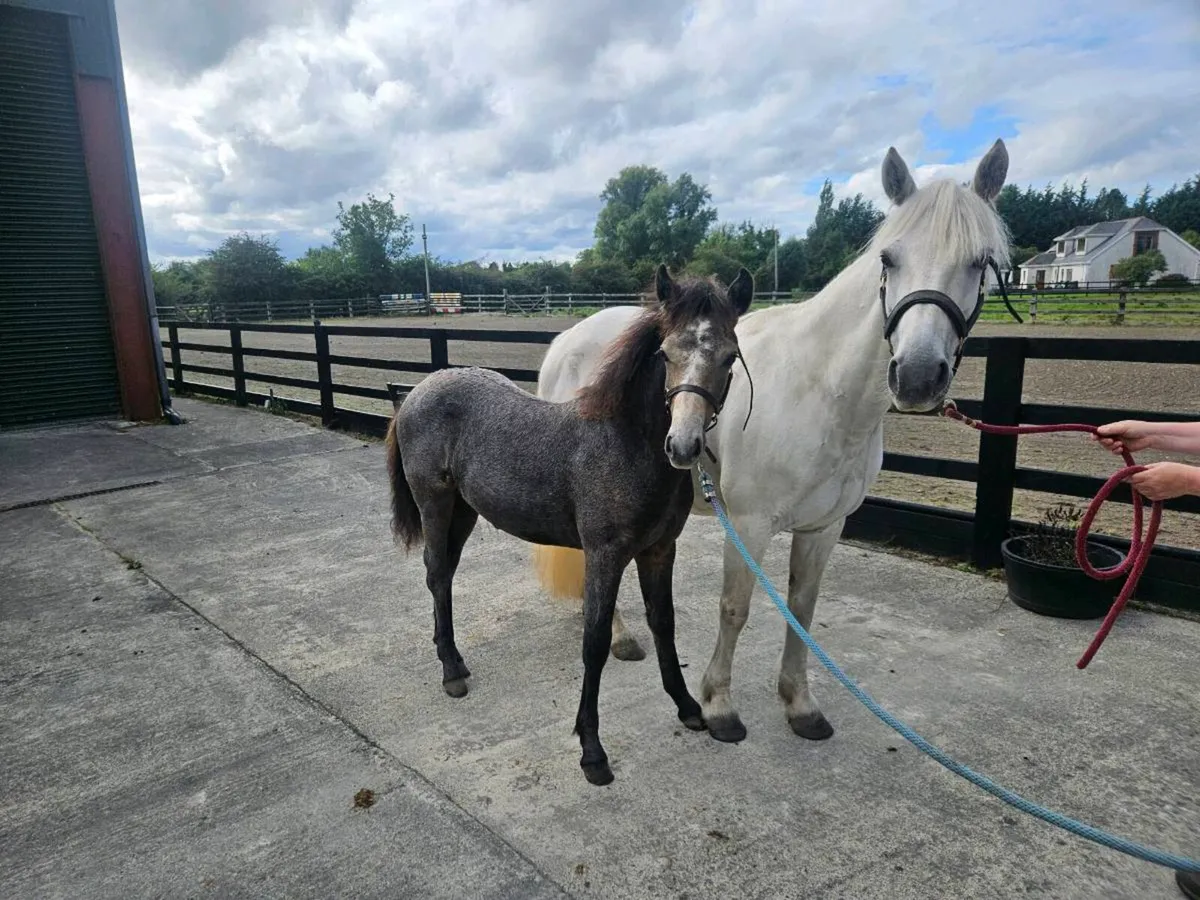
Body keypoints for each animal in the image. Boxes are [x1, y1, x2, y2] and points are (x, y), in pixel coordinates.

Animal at [385, 264, 754, 785]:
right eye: (665, 353)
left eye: (729, 356)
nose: (682, 446)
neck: (625, 443)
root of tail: (416, 392)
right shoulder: (604, 554)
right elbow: (594, 642)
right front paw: (592, 750)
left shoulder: (659, 550)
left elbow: (664, 624)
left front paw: (687, 707)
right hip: (434, 503)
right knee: (437, 573)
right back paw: (452, 672)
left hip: (463, 510)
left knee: (445, 575)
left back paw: (451, 657)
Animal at [533, 139, 1013, 743]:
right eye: (889, 259)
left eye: (980, 262)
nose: (919, 375)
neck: (821, 387)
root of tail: (567, 339)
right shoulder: (750, 525)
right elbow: (735, 608)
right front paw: (718, 705)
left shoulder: (825, 528)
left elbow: (801, 610)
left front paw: (799, 703)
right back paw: (619, 637)